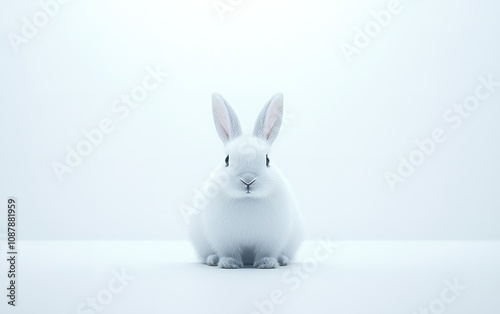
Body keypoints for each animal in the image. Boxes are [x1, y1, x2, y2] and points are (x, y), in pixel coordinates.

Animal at [188, 92, 302, 268]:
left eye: (267, 160)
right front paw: (229, 264)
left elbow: (266, 252)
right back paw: (212, 260)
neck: (247, 199)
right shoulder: (225, 239)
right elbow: (230, 252)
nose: (248, 180)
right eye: (227, 159)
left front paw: (267, 264)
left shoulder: (271, 239)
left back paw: (283, 260)